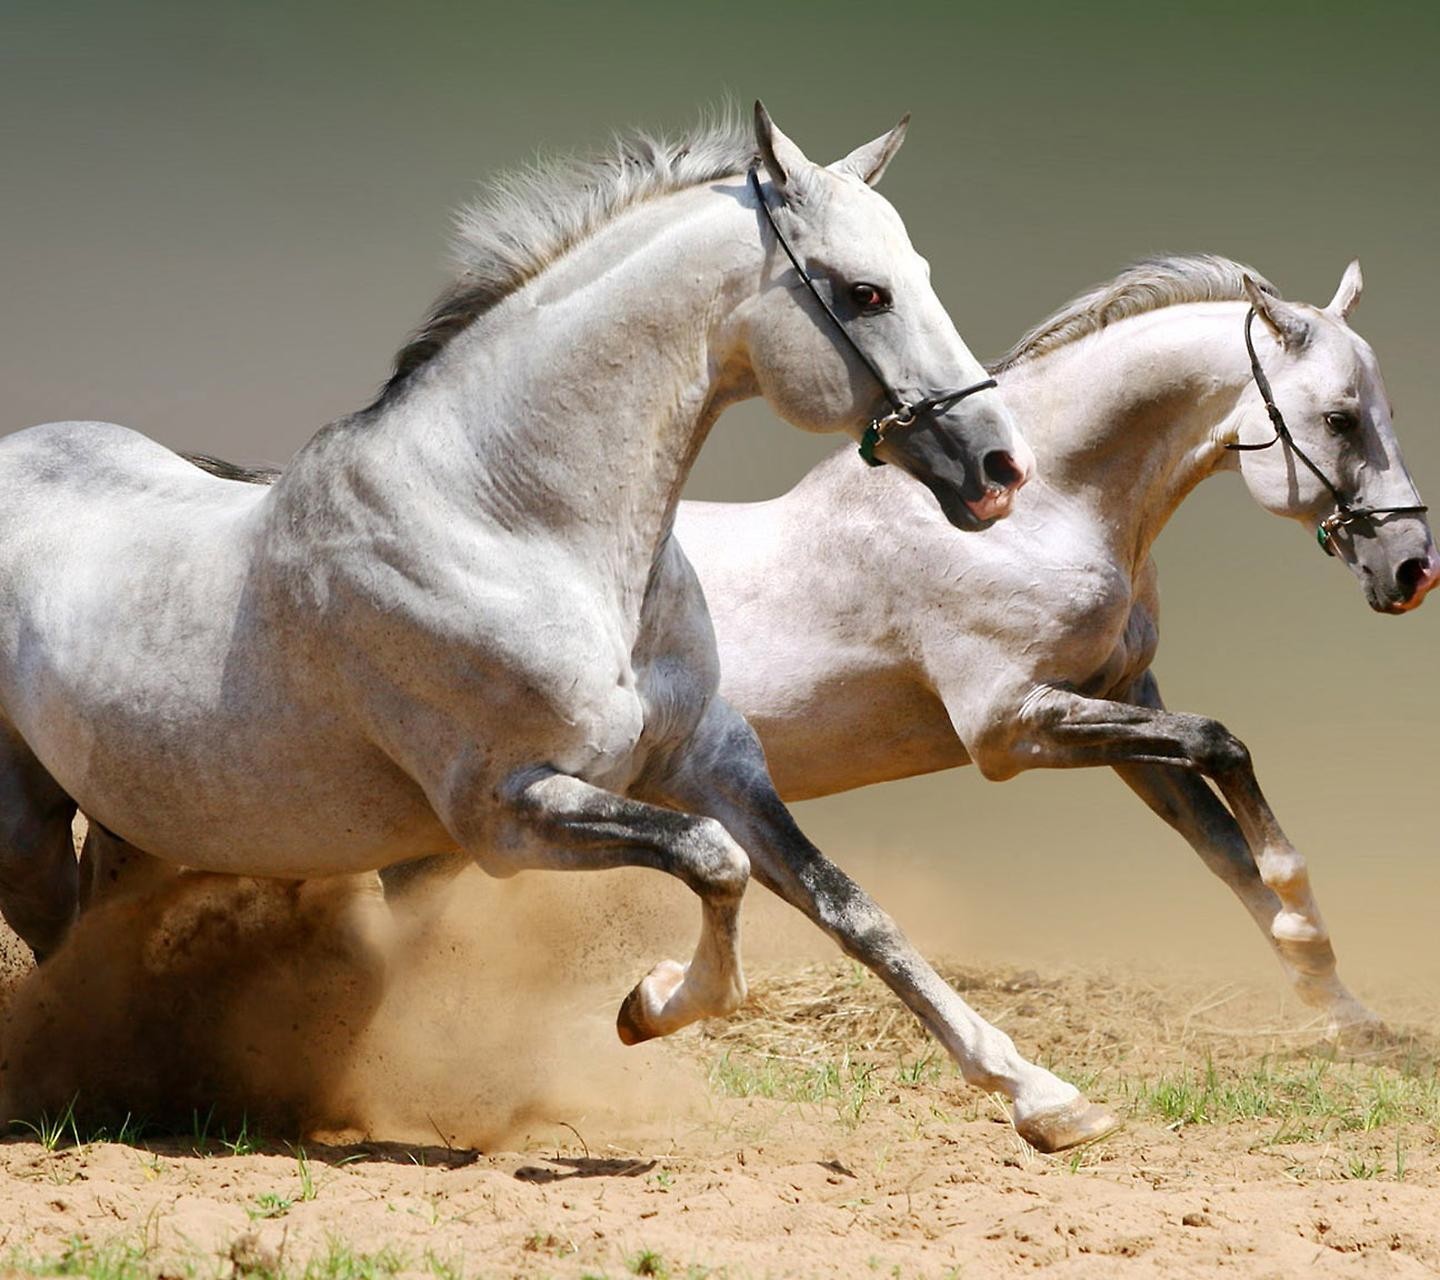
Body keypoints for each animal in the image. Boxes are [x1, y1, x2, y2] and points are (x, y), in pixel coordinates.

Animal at [0, 107, 1128, 1154]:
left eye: (915, 273)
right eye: (865, 293)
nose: (999, 468)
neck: (515, 524)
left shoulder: (710, 757)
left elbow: (850, 906)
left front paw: (1047, 1099)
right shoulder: (510, 814)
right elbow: (712, 862)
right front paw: (653, 1004)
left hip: (140, 824)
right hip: (30, 827)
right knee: (55, 954)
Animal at [676, 255, 1436, 1040]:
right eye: (1340, 419)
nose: (1415, 568)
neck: (1038, 515)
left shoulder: (1120, 701)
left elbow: (1225, 846)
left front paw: (1343, 1009)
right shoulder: (1011, 727)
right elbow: (1220, 744)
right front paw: (1303, 920)